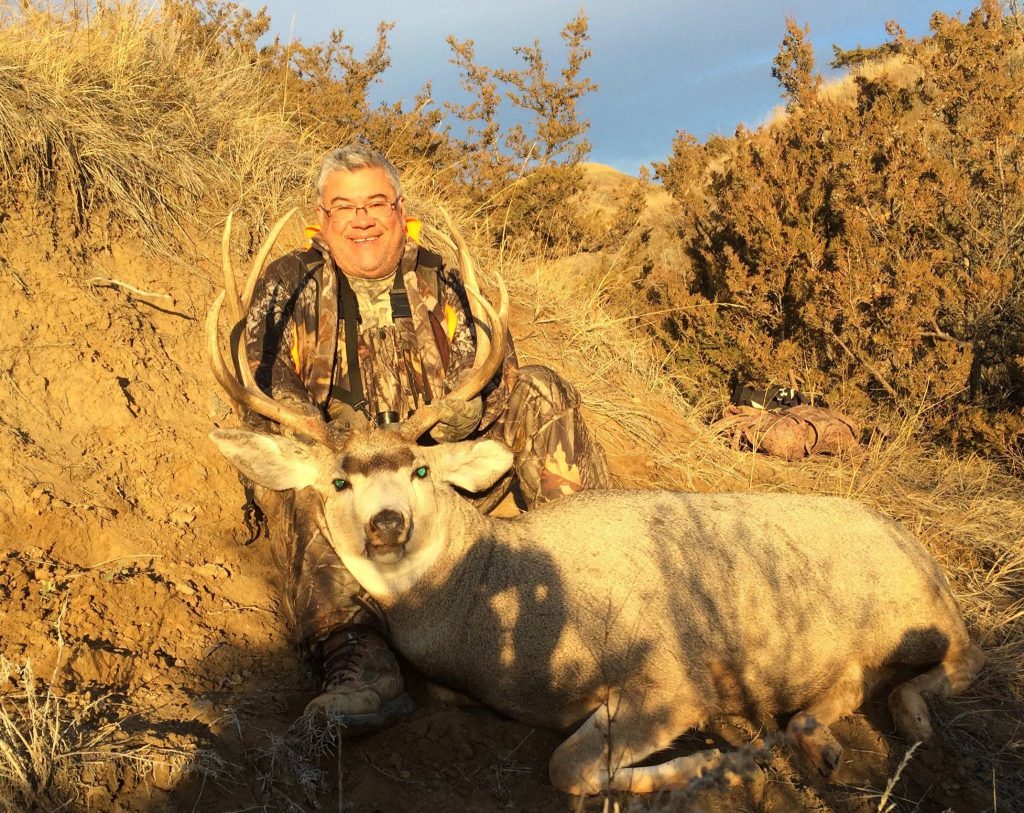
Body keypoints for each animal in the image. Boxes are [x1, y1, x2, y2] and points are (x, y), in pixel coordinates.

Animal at [206, 212, 984, 798]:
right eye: (338, 482)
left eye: (422, 468)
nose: (388, 524)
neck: (503, 605)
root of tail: (921, 551)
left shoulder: (674, 675)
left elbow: (569, 765)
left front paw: (714, 760)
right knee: (850, 685)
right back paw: (816, 741)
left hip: (921, 611)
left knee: (958, 662)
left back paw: (890, 722)